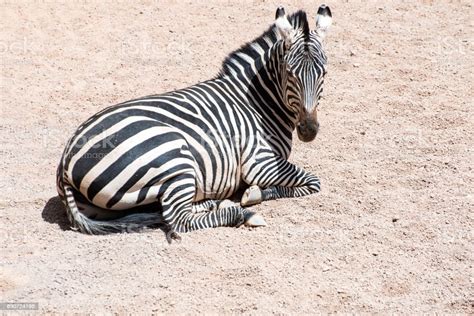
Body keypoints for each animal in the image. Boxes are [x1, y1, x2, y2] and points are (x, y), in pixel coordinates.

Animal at [55, 4, 334, 241]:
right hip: (174, 157)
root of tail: (65, 163)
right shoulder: (260, 163)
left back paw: (213, 202)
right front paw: (253, 196)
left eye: (324, 72)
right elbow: (311, 182)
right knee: (178, 219)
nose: (309, 131)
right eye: (290, 74)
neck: (257, 102)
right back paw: (242, 214)